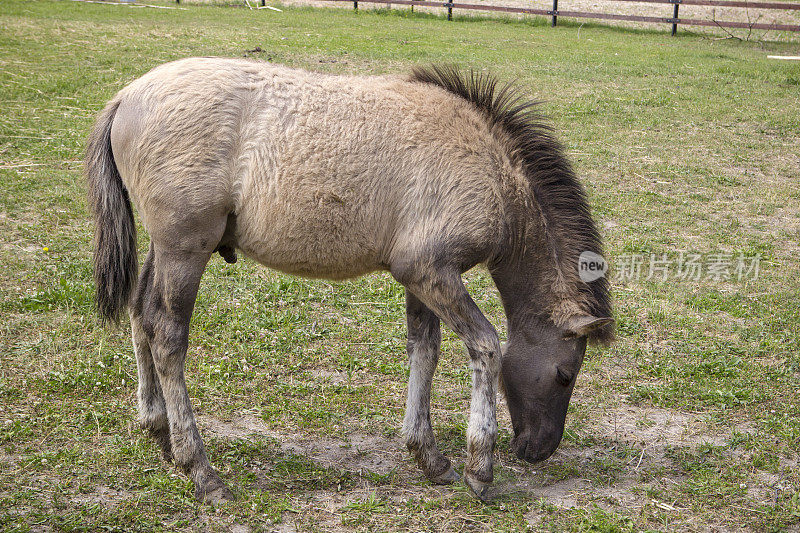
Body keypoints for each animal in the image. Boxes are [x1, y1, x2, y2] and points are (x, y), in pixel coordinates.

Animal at [86, 59, 612, 502]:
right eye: (565, 375)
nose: (539, 449)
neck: (491, 171)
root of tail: (127, 96)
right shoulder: (431, 271)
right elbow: (486, 346)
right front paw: (479, 468)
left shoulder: (420, 278)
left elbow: (425, 350)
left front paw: (429, 456)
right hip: (185, 251)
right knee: (168, 339)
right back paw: (201, 470)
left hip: (164, 249)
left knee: (141, 315)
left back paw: (159, 430)